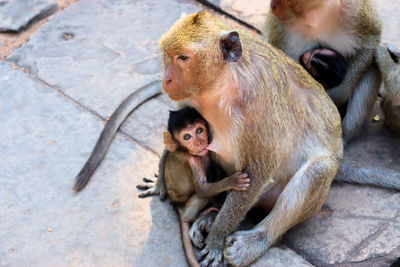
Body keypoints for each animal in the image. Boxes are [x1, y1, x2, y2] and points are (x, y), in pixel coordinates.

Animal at [161, 11, 342, 267]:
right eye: (167, 56)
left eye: (183, 57)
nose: (166, 79)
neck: (221, 84)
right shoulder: (190, 98)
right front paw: (159, 180)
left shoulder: (259, 101)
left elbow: (258, 172)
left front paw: (216, 238)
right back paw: (211, 214)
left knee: (320, 169)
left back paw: (256, 239)